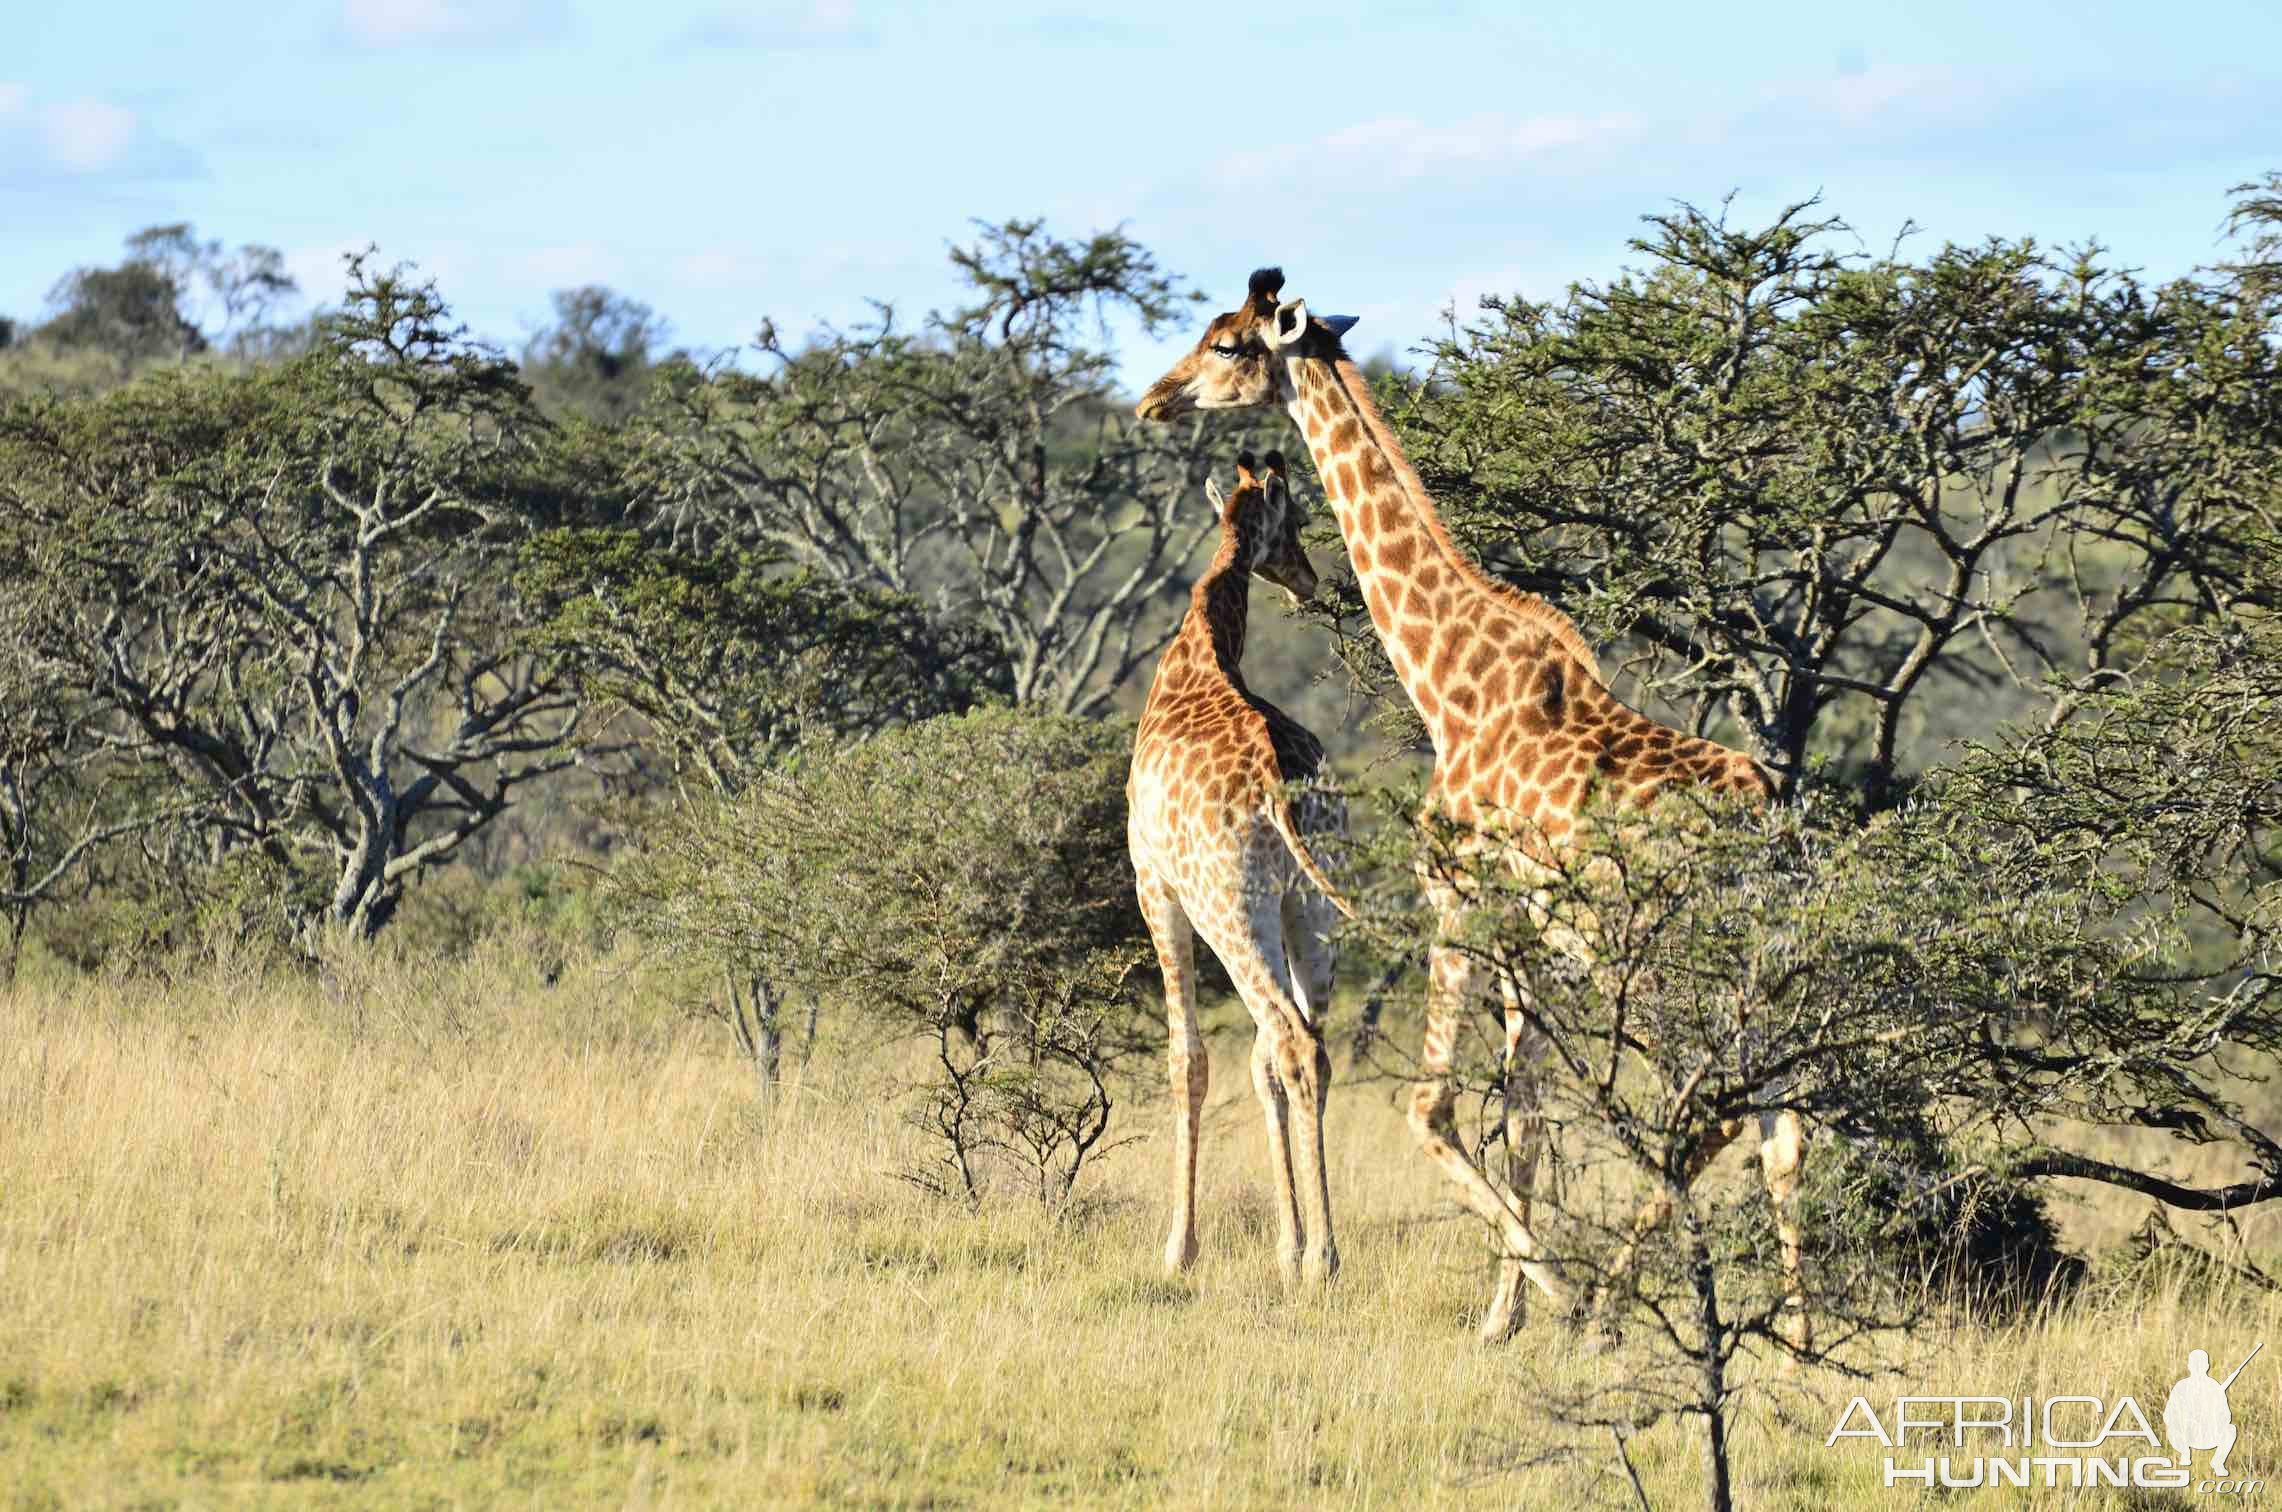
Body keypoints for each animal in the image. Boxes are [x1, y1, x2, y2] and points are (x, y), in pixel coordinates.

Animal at [1127, 449, 1350, 1286]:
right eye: (1302, 519)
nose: (1310, 579)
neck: (1203, 649)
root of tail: (1276, 785)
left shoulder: (1153, 885)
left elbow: (1186, 1060)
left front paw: (1178, 1250)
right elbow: (1255, 1065)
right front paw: (1284, 1242)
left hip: (1229, 906)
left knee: (1288, 1041)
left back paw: (1324, 1258)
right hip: (1308, 910)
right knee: (1306, 1046)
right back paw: (1312, 1251)